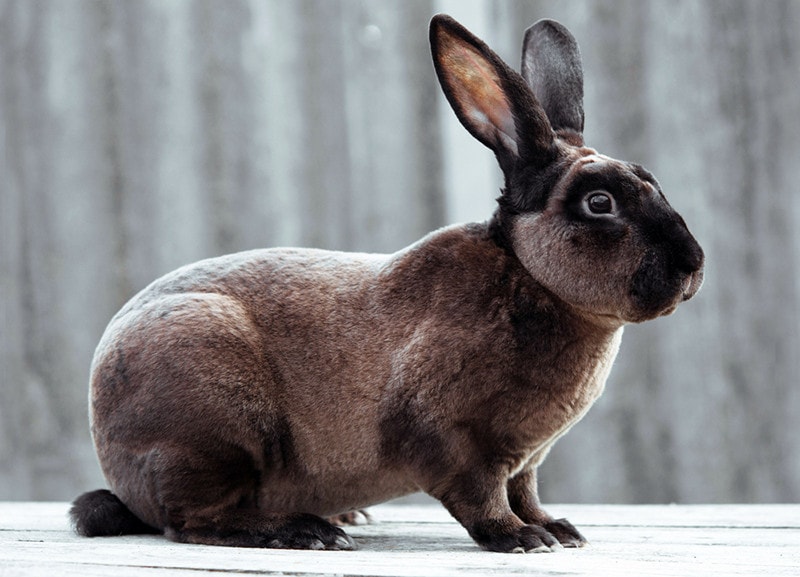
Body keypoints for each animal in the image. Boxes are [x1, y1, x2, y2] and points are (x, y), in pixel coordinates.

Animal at [70, 14, 704, 554]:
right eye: (599, 203)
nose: (693, 265)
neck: (528, 276)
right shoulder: (453, 439)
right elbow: (481, 496)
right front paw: (522, 539)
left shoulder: (527, 461)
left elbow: (526, 493)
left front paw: (558, 530)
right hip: (212, 425)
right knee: (190, 520)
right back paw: (308, 531)